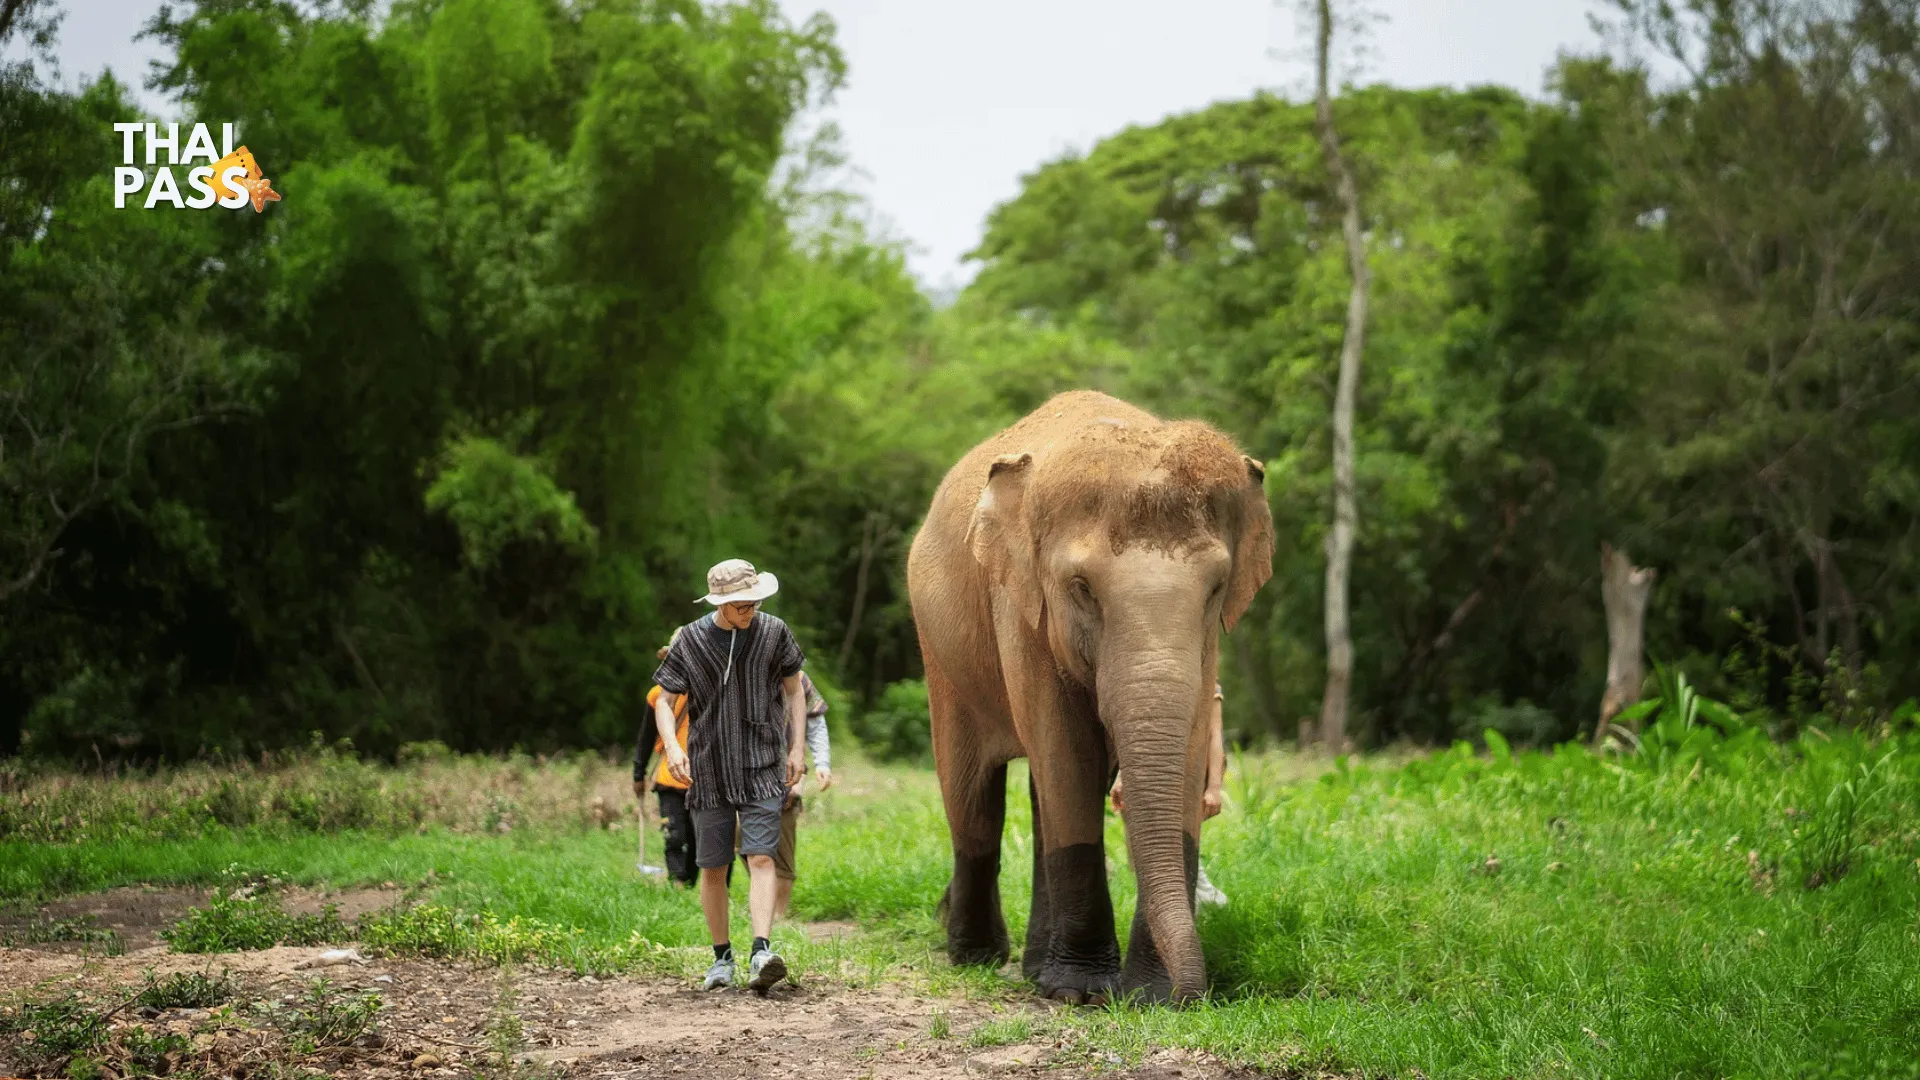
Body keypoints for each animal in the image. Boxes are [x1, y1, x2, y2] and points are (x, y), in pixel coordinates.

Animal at [902, 386, 1267, 999]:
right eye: (1082, 588)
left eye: (1217, 588)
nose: (1196, 993)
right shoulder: (1020, 605)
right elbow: (1067, 755)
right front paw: (1083, 993)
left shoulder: (1205, 644)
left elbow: (1187, 751)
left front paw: (1149, 996)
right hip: (940, 654)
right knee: (973, 799)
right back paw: (976, 958)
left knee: (1036, 797)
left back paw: (1031, 969)